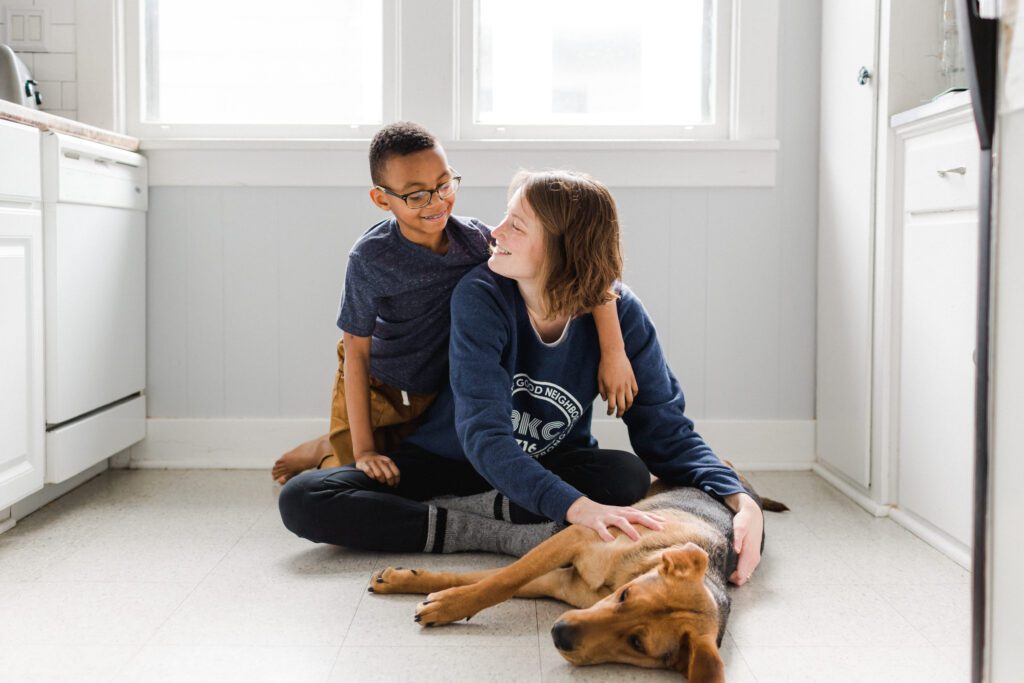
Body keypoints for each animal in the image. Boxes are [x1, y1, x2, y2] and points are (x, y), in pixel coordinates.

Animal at [372, 481, 786, 683]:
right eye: (626, 596)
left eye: (637, 644)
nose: (559, 634)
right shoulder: (577, 536)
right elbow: (499, 580)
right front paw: (435, 597)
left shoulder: (559, 581)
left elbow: (491, 579)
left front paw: (434, 595)